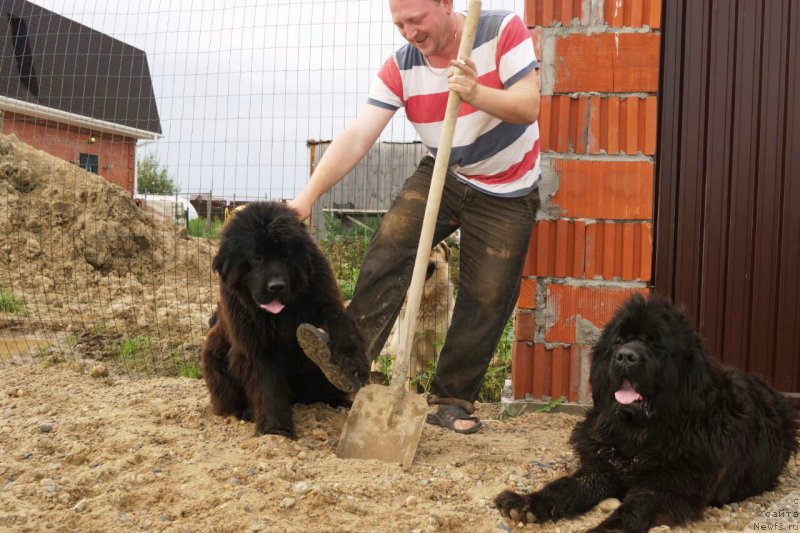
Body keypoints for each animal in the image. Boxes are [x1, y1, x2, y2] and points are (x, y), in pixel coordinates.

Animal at [202, 202, 368, 438]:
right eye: (256, 257)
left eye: (285, 256)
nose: (276, 286)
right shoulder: (256, 345)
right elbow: (268, 386)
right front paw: (276, 430)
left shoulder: (324, 299)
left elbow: (340, 322)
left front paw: (351, 359)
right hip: (215, 354)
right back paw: (245, 412)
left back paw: (338, 402)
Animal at [496, 294, 796, 528]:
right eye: (620, 340)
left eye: (657, 344)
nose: (626, 357)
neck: (640, 434)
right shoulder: (601, 468)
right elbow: (565, 486)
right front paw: (527, 503)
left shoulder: (669, 488)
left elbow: (633, 509)